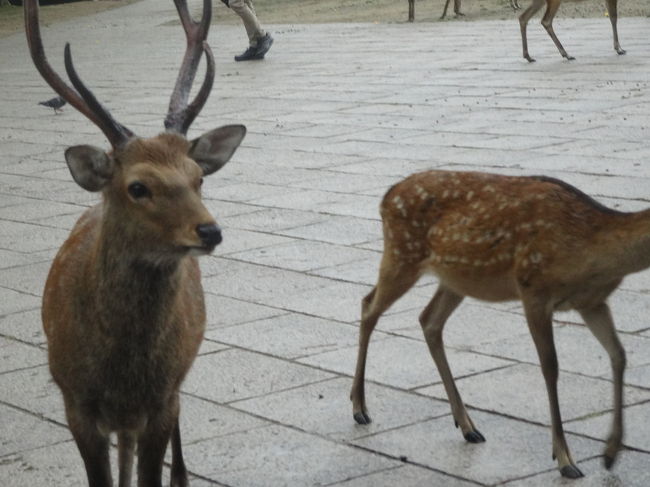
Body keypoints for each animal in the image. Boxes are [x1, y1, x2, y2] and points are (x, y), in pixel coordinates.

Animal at [25, 0, 246, 485]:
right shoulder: (74, 402)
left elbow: (151, 471)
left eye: (198, 178)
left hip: (174, 388)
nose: (210, 230)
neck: (122, 373)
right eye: (138, 186)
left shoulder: (162, 400)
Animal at [350, 170, 632, 478]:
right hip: (403, 256)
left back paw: (468, 427)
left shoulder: (590, 301)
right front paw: (566, 459)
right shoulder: (538, 293)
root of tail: (386, 197)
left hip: (454, 277)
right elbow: (551, 364)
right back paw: (360, 409)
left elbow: (617, 353)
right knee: (369, 306)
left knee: (426, 318)